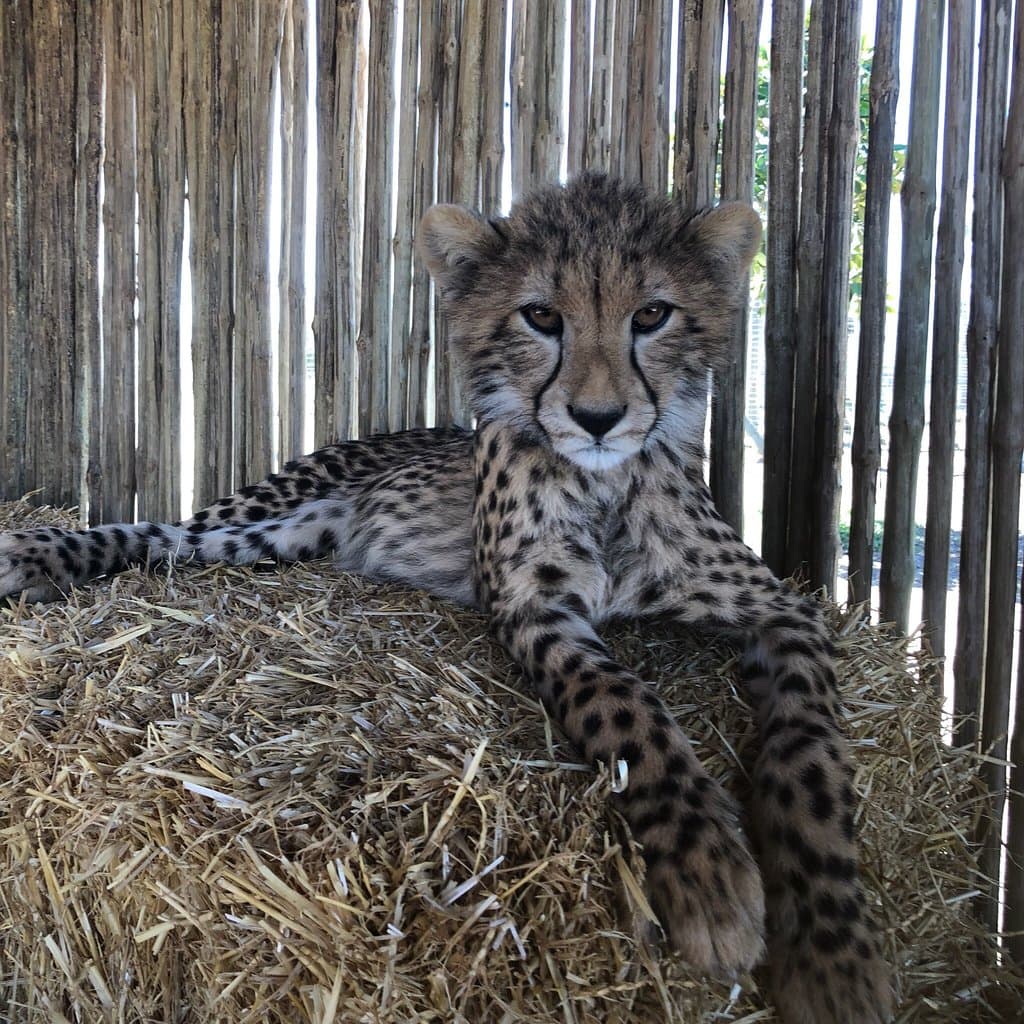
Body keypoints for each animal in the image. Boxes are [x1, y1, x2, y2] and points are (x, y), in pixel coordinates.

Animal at [0, 174, 892, 1023]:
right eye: (541, 315)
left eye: (652, 314)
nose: (598, 417)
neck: (605, 489)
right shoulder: (534, 610)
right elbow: (627, 706)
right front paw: (710, 871)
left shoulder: (784, 610)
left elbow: (809, 755)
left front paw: (832, 956)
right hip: (262, 519)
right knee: (159, 532)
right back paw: (35, 552)